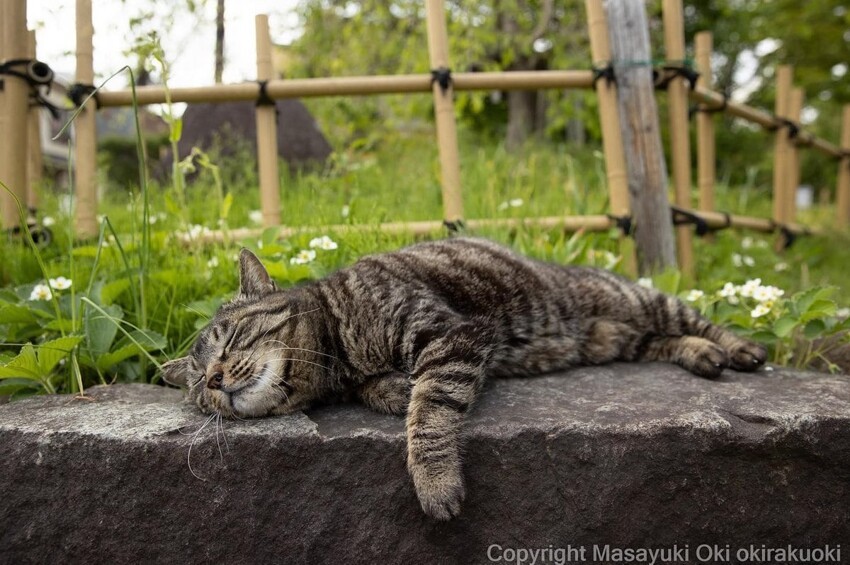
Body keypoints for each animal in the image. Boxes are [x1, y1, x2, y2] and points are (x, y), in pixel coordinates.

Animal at [162, 237, 764, 520]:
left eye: (229, 341)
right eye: (197, 391)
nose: (214, 381)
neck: (337, 350)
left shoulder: (452, 333)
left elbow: (430, 412)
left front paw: (434, 482)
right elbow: (392, 393)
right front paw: (392, 389)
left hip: (636, 299)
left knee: (694, 317)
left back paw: (739, 348)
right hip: (616, 339)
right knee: (662, 340)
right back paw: (703, 356)